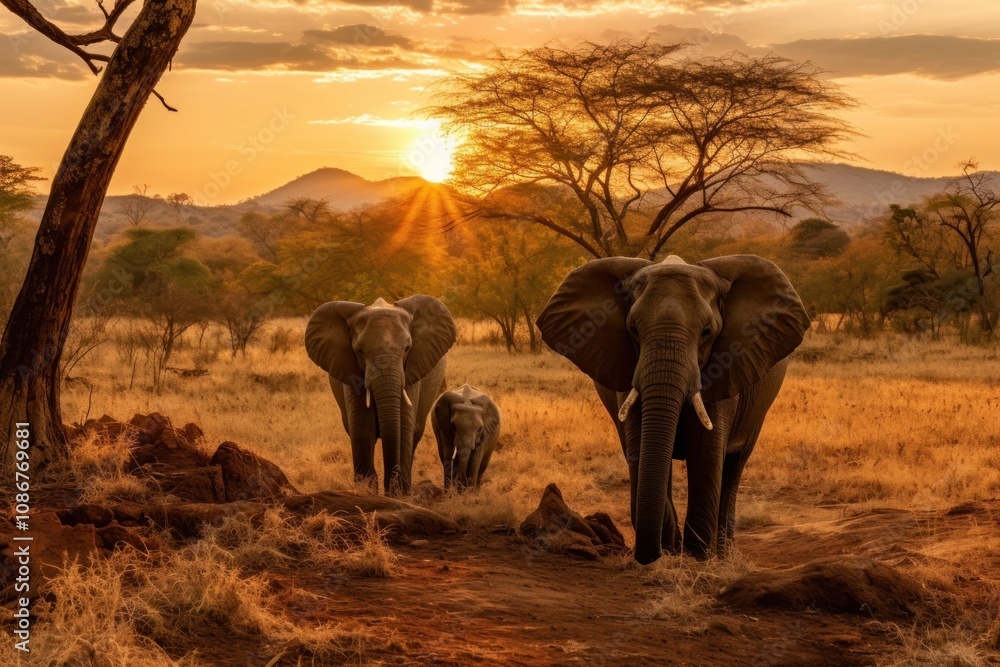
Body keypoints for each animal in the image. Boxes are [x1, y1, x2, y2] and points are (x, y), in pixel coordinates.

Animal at [305, 296, 457, 495]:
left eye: (407, 348)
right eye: (360, 351)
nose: (391, 485)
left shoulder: (411, 371)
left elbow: (403, 426)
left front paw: (398, 494)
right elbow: (362, 427)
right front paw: (367, 492)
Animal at [536, 254, 810, 564]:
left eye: (707, 333)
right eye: (633, 330)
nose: (652, 555)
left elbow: (706, 452)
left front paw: (697, 559)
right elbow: (641, 446)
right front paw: (671, 553)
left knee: (733, 467)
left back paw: (723, 556)